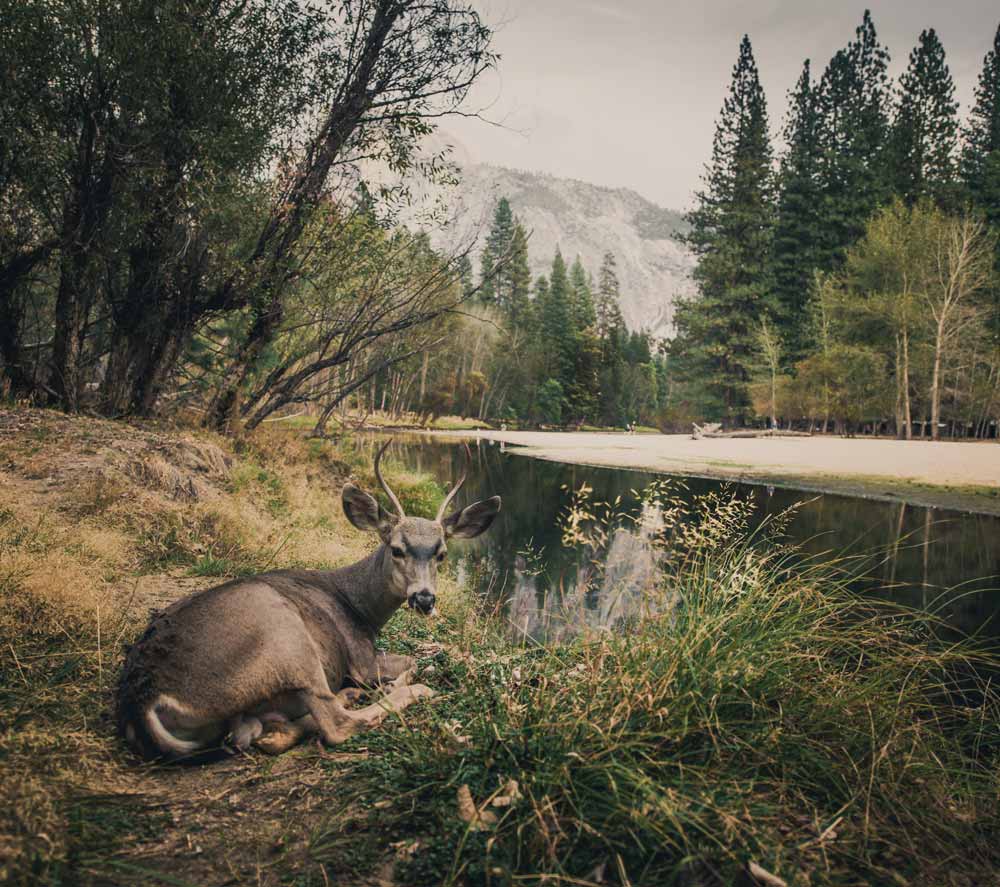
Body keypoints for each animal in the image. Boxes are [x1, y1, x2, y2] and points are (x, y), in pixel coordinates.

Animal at [116, 441, 500, 760]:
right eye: (396, 549)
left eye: (442, 554)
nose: (424, 598)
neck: (358, 605)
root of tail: (142, 704)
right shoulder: (360, 658)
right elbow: (416, 661)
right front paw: (401, 679)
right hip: (286, 637)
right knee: (336, 723)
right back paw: (407, 691)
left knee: (249, 732)